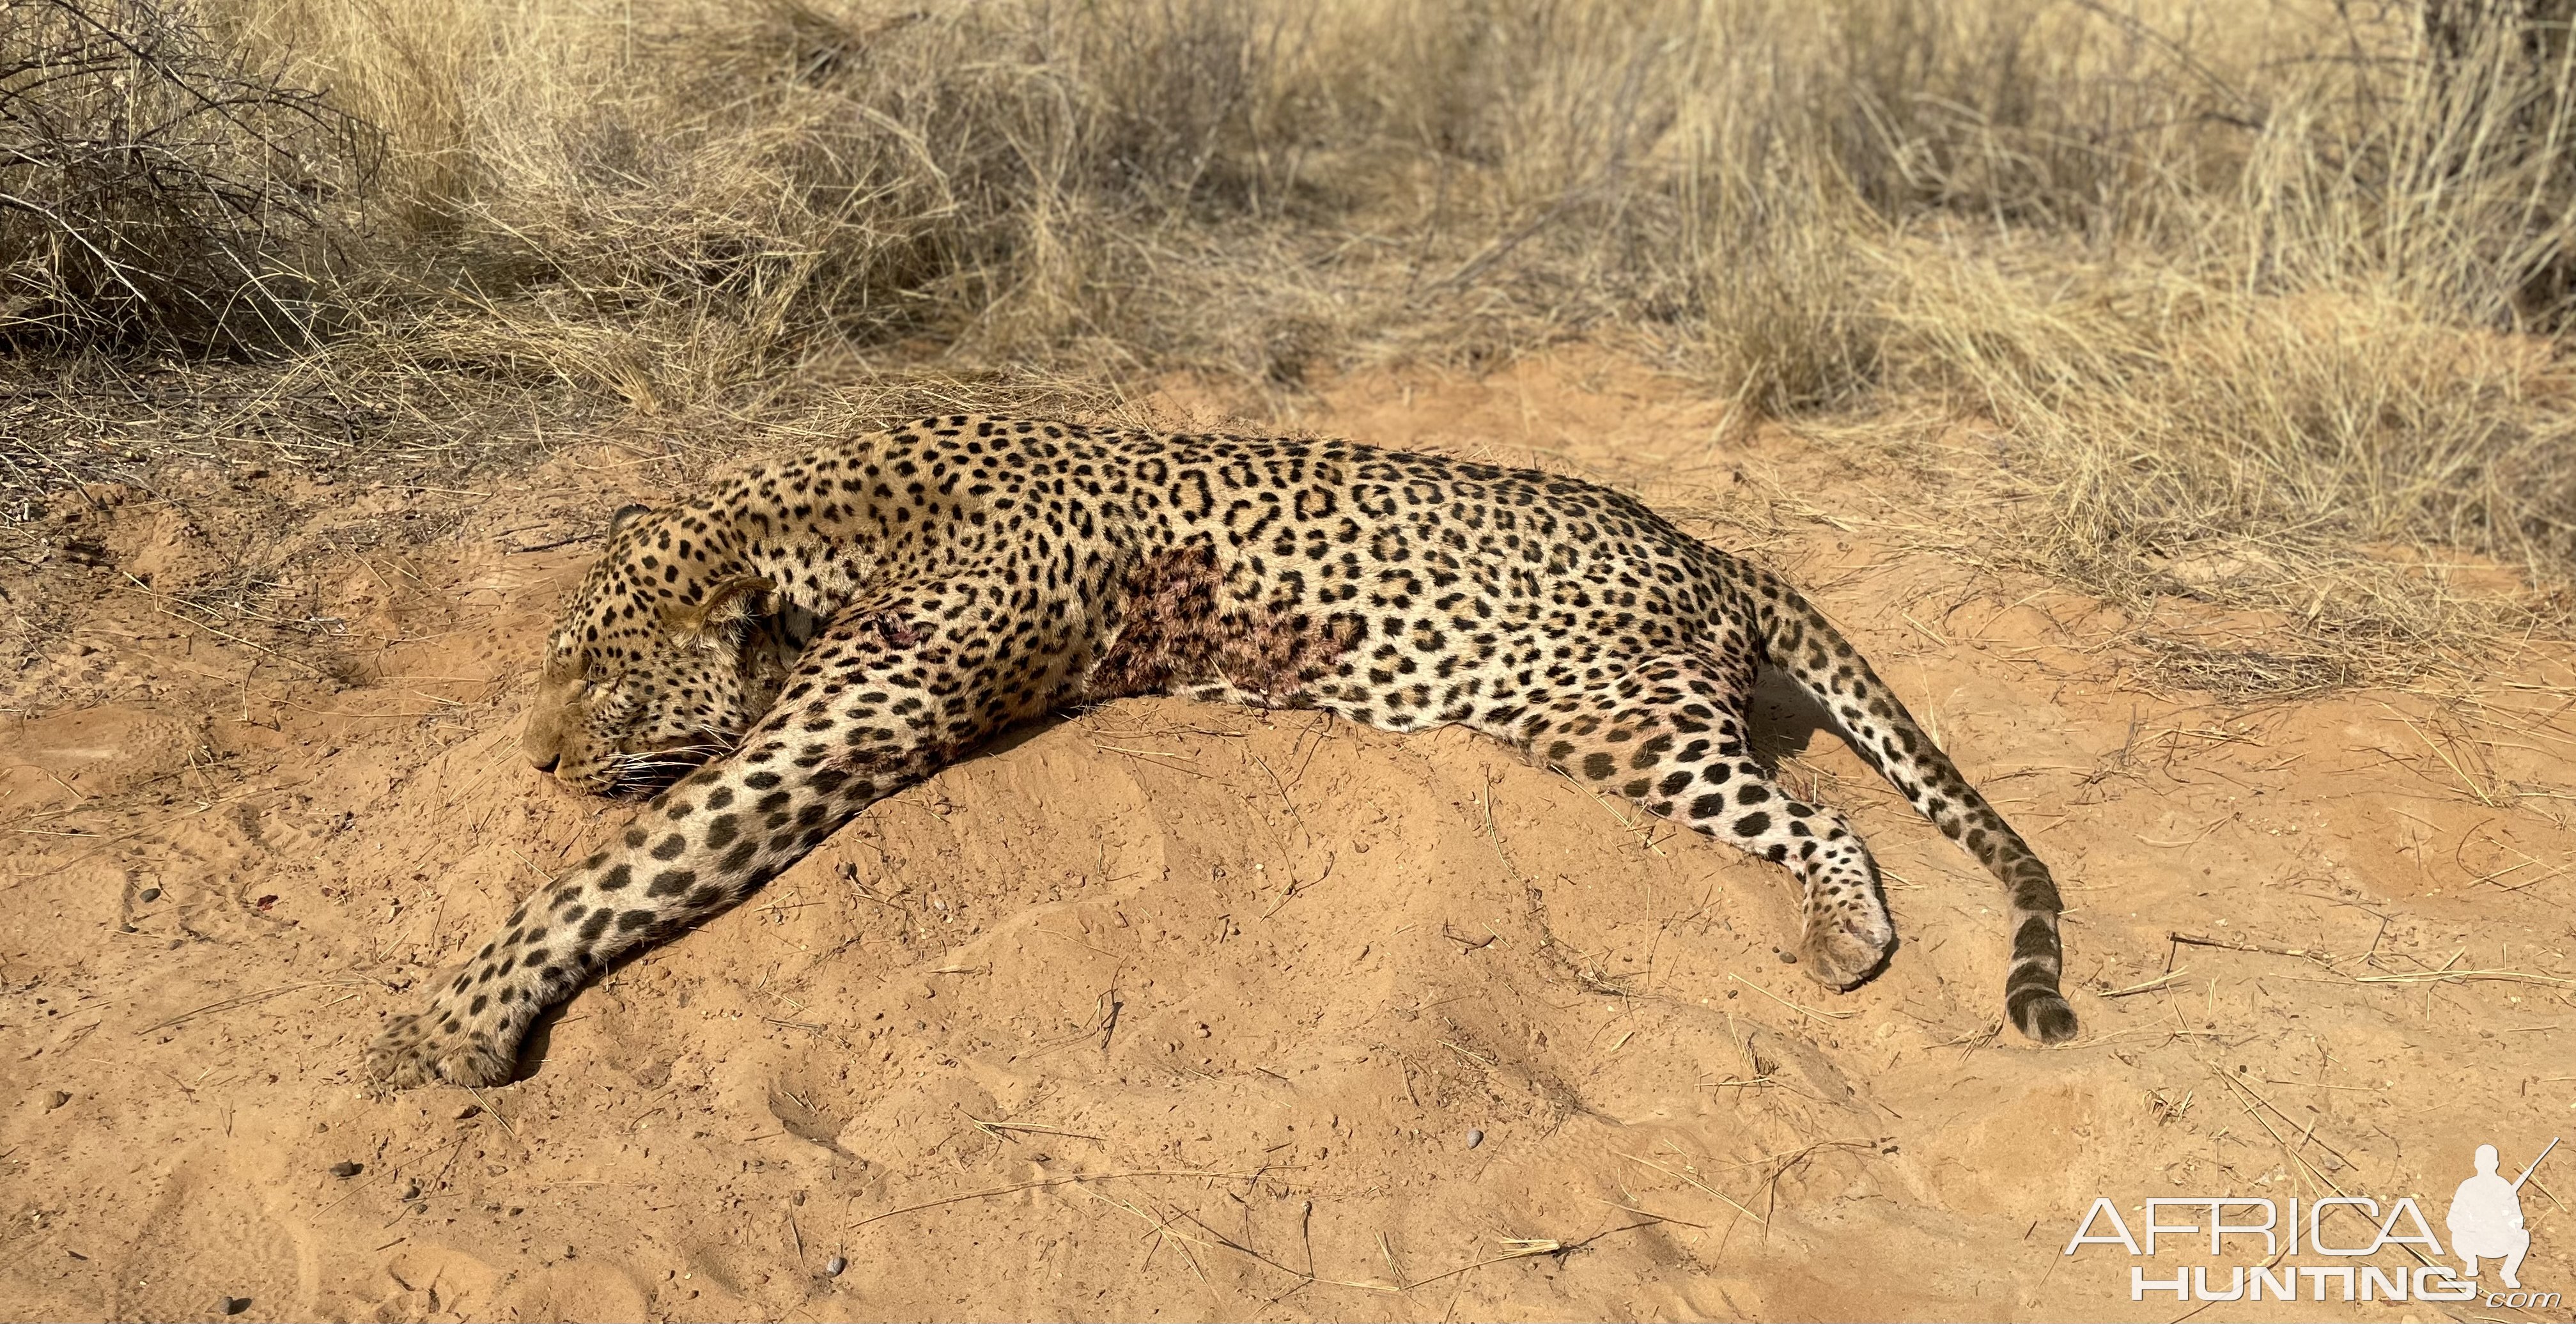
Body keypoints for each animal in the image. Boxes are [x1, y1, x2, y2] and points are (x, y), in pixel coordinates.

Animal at [368, 412, 2071, 1082]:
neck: (826, 522)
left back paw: (1842, 938)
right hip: (1590, 721)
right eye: (550, 660)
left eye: (595, 674)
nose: (531, 761)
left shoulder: (820, 743)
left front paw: (449, 1022)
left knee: (1826, 818)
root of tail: (1714, 546)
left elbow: (615, 871)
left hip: (1624, 717)